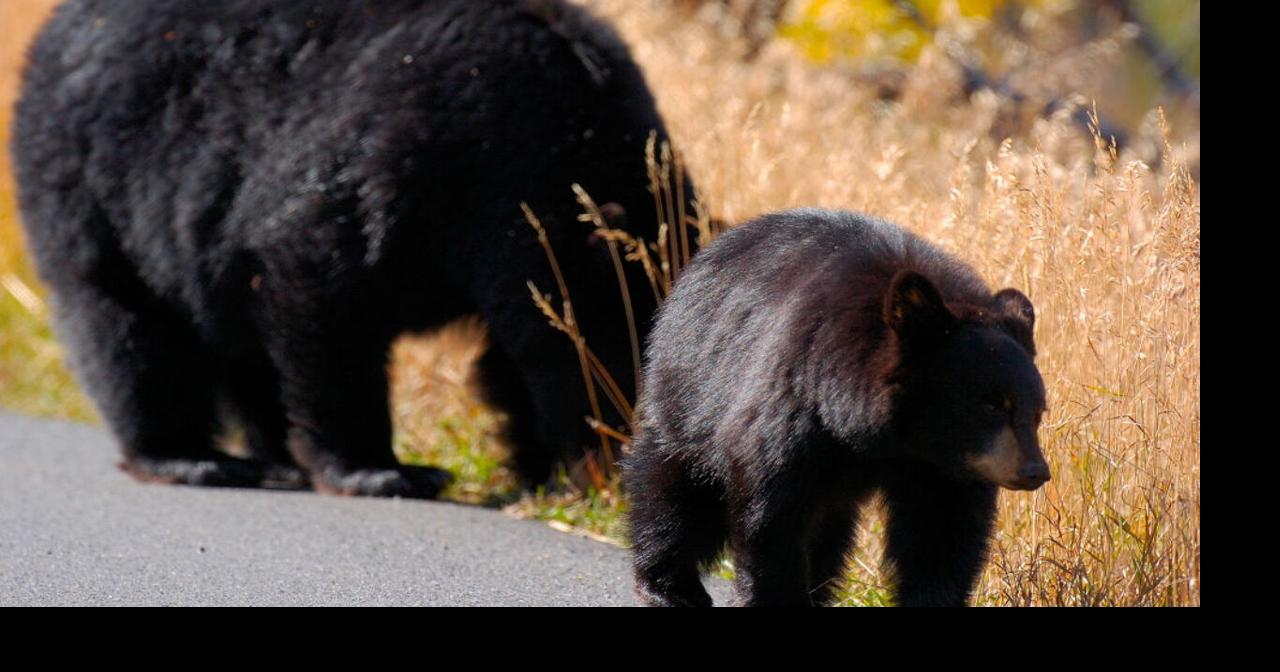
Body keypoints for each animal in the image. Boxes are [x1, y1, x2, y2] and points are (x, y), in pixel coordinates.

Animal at [12, 0, 689, 496]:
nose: (625, 468)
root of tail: (47, 35)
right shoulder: (409, 156)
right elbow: (321, 288)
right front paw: (383, 471)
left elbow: (511, 356)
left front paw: (541, 468)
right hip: (93, 186)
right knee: (129, 327)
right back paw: (188, 457)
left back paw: (274, 456)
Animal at [624, 209, 1050, 607]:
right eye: (992, 406)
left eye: (1037, 412)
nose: (1035, 471)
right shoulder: (797, 402)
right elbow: (771, 509)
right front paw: (775, 596)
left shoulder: (943, 469)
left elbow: (941, 531)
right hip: (692, 383)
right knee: (674, 487)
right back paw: (668, 585)